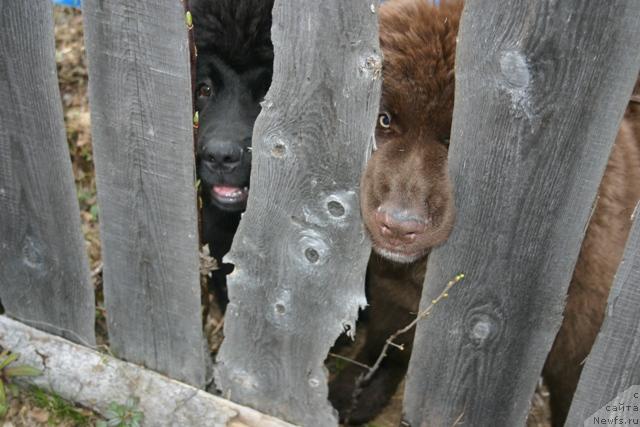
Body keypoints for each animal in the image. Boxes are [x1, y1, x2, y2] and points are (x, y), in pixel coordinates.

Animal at [328, 1, 640, 426]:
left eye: (454, 139)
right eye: (385, 119)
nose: (399, 225)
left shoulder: (579, 341)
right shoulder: (391, 293)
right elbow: (387, 340)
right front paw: (355, 391)